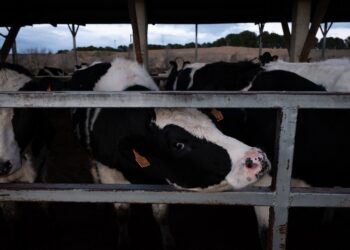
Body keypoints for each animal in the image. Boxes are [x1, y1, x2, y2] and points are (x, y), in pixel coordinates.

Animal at [67, 57, 270, 250]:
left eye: (215, 127)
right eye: (178, 144)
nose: (257, 158)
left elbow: (161, 214)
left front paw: (168, 242)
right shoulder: (109, 172)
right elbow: (122, 213)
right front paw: (123, 242)